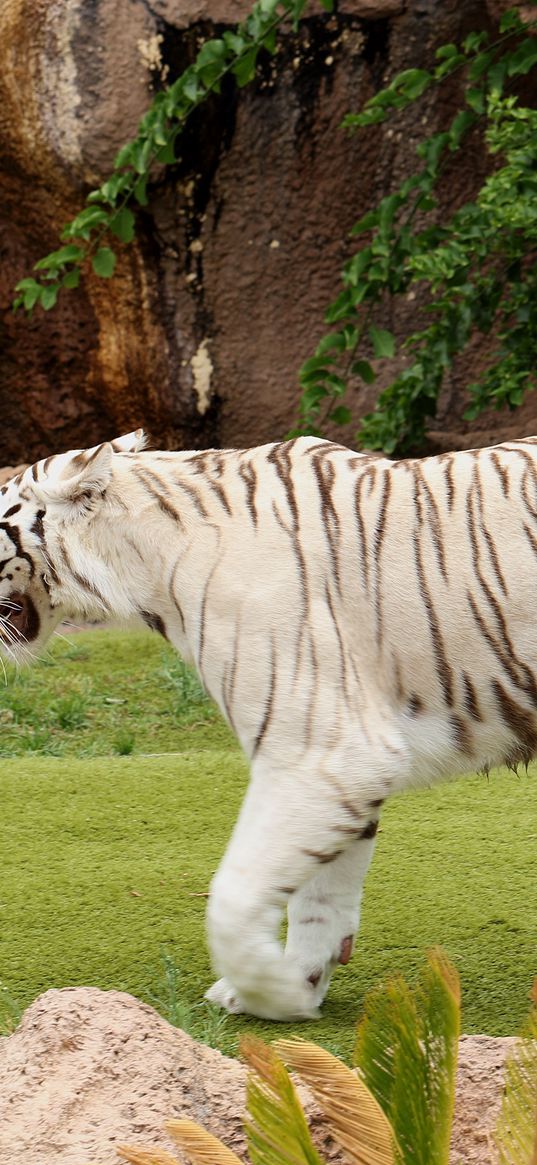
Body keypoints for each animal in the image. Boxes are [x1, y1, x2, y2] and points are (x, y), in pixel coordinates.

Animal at [0, 431, 533, 1020]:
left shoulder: (321, 753)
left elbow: (234, 897)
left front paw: (269, 990)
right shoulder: (345, 763)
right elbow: (321, 896)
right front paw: (298, 981)